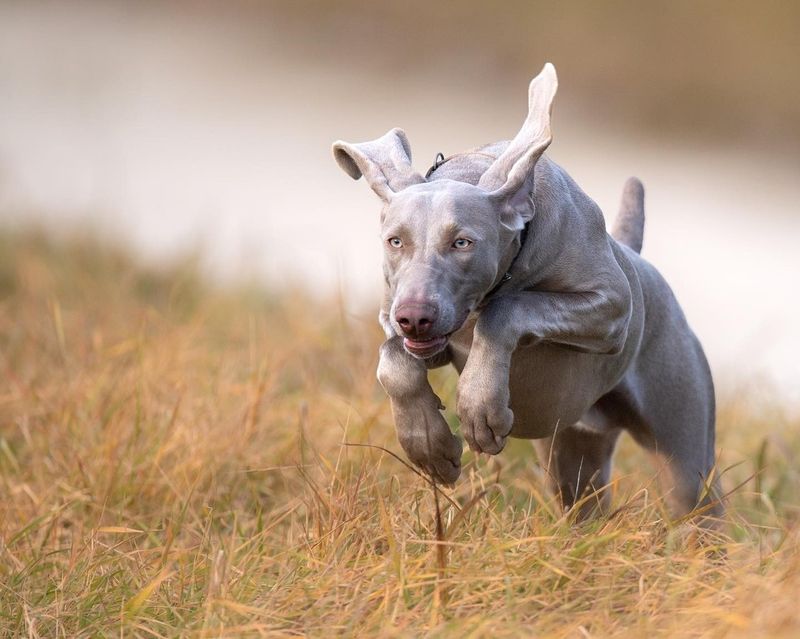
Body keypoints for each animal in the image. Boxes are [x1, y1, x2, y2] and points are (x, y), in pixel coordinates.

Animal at [332, 62, 720, 516]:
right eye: (396, 241)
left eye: (462, 242)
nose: (414, 317)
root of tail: (634, 253)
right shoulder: (407, 323)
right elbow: (393, 358)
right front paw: (430, 445)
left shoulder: (612, 310)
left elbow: (507, 310)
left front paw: (480, 406)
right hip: (572, 457)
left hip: (686, 456)